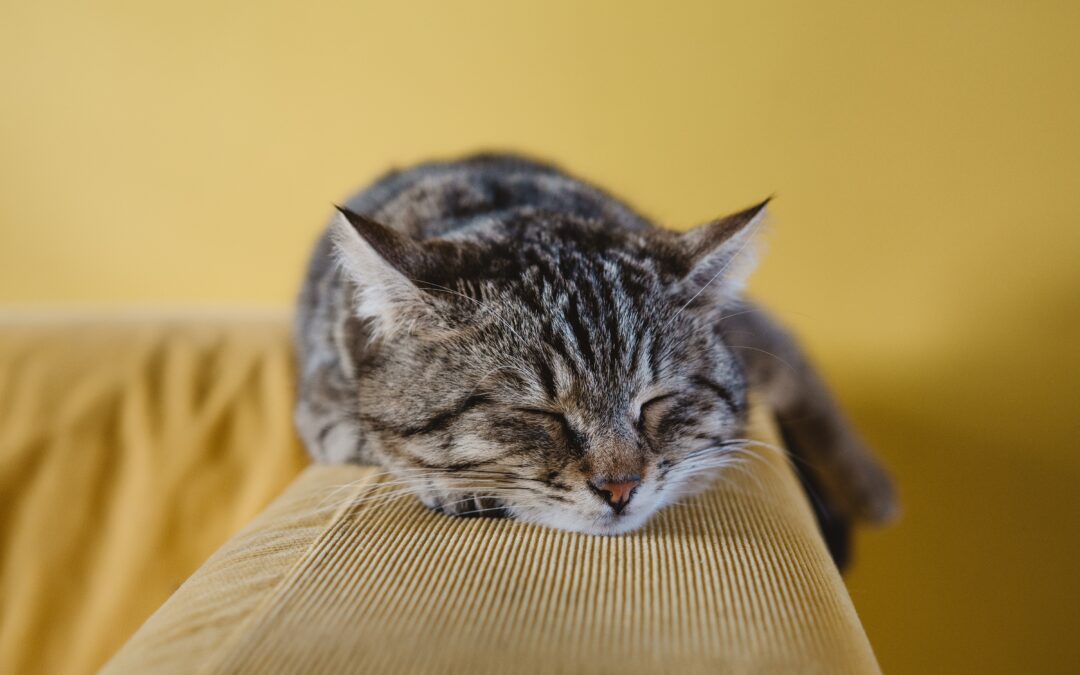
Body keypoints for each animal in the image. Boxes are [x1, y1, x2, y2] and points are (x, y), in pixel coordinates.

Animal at [295, 152, 894, 542]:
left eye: (654, 403)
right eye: (539, 414)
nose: (620, 487)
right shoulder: (323, 415)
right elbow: (377, 444)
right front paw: (458, 486)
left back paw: (871, 485)